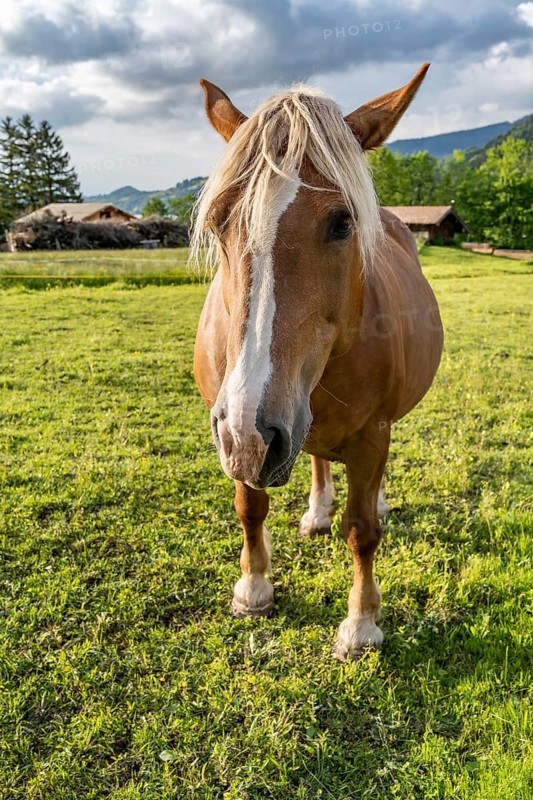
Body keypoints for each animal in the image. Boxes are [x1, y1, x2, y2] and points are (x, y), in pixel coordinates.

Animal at [192, 64, 443, 660]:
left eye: (342, 223)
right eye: (217, 222)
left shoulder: (370, 433)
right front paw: (254, 588)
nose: (254, 432)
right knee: (315, 457)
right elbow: (249, 507)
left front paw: (361, 625)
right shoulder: (239, 429)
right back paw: (316, 510)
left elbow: (361, 531)